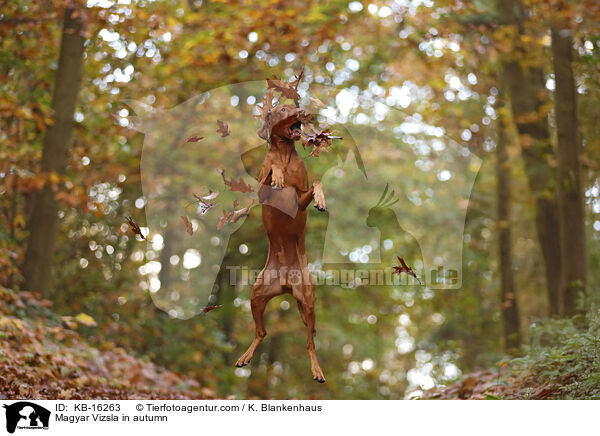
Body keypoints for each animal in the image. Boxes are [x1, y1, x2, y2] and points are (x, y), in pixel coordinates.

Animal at [236, 103, 328, 382]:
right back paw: (245, 357)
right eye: (283, 109)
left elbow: (317, 182)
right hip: (256, 294)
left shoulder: (301, 200)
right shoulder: (261, 192)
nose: (303, 110)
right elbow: (270, 172)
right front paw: (277, 175)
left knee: (310, 343)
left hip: (307, 301)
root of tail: (286, 283)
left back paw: (317, 369)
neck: (286, 154)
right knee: (261, 332)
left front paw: (321, 200)